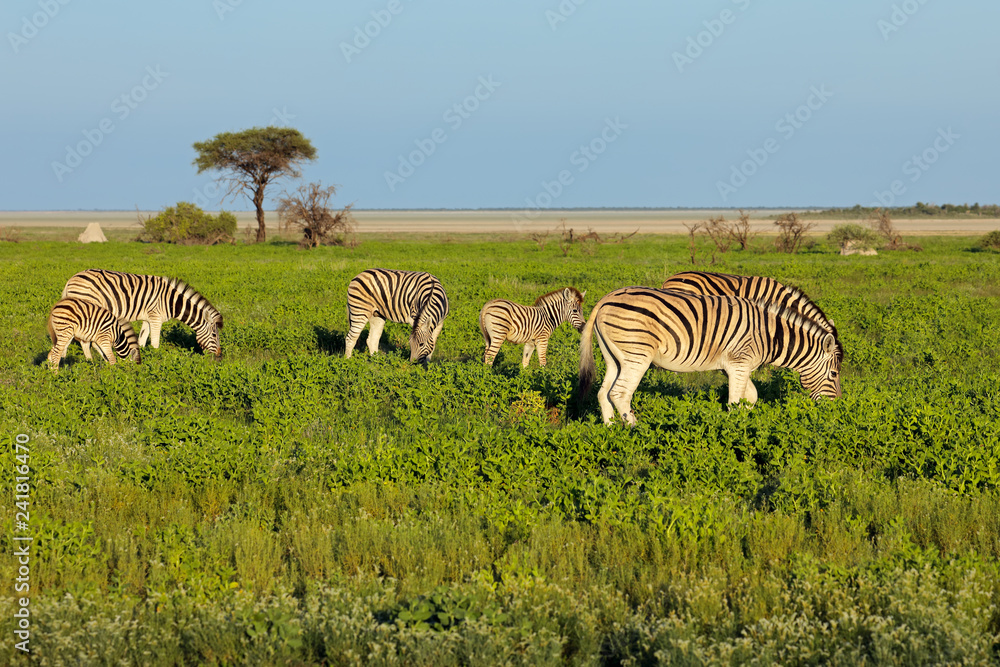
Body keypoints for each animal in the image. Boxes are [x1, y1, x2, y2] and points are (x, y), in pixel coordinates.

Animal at [60, 269, 223, 358]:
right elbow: (155, 343)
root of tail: (71, 279)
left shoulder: (148, 319)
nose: (219, 355)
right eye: (214, 335)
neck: (171, 301)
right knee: (83, 340)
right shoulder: (156, 318)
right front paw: (158, 360)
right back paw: (91, 361)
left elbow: (142, 340)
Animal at [578, 287, 842, 425]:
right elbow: (735, 401)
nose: (836, 408)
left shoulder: (736, 367)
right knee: (620, 393)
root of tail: (606, 298)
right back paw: (635, 431)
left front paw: (746, 422)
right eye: (834, 374)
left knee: (604, 392)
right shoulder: (739, 363)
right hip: (637, 355)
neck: (769, 335)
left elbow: (751, 396)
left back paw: (612, 430)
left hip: (615, 357)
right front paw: (735, 431)